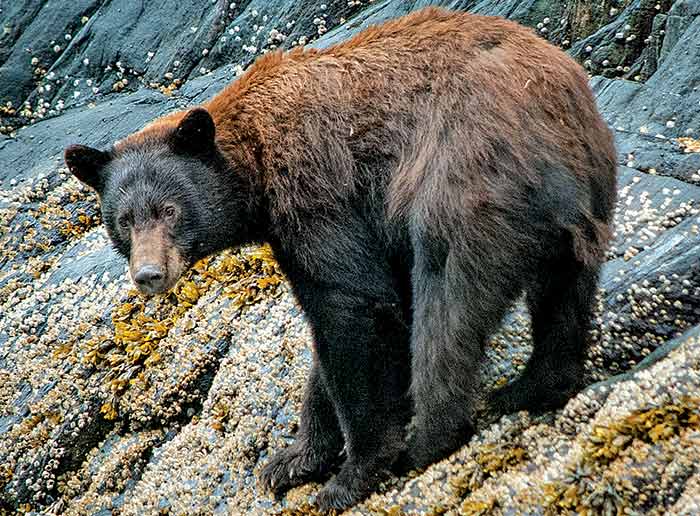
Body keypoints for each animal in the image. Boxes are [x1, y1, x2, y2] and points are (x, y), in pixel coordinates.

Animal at [64, 6, 617, 511]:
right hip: (588, 192)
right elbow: (362, 314)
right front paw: (292, 460)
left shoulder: (319, 200)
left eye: (169, 210)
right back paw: (533, 388)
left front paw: (354, 472)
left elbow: (354, 311)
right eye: (123, 219)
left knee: (448, 305)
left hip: (465, 184)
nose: (148, 274)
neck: (255, 163)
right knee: (562, 295)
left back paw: (432, 437)